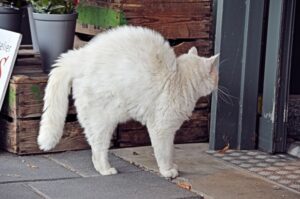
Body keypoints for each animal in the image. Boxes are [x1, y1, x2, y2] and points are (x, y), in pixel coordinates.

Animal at [38, 25, 219, 178]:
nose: (218, 82)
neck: (179, 78)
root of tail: (78, 56)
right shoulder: (162, 129)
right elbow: (165, 153)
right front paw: (168, 171)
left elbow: (169, 152)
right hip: (102, 122)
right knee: (98, 149)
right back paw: (106, 170)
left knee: (94, 150)